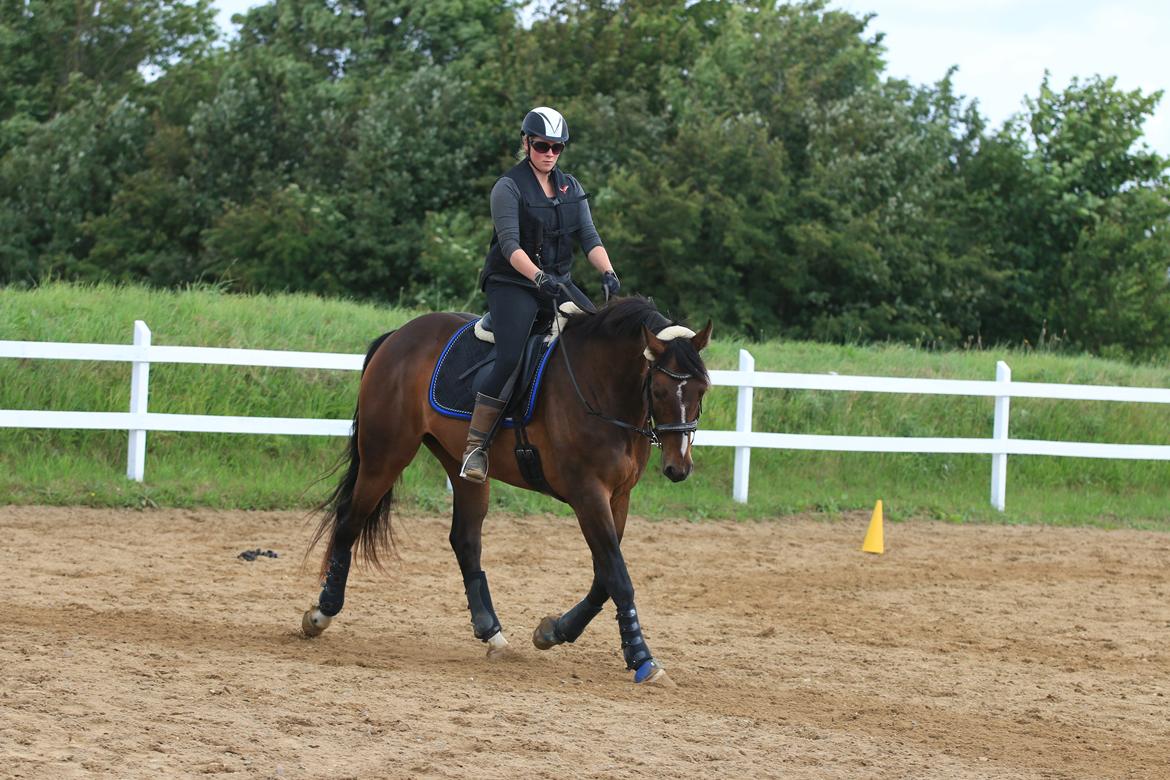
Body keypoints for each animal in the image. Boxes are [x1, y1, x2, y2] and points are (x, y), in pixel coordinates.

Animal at [299, 295, 711, 687]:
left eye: (702, 389)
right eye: (659, 389)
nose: (678, 468)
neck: (602, 387)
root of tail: (398, 335)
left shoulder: (618, 497)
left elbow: (604, 578)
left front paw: (553, 631)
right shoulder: (588, 495)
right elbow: (618, 578)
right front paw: (643, 660)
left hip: (460, 464)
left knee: (465, 540)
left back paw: (491, 633)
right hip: (386, 454)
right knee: (349, 522)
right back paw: (321, 614)